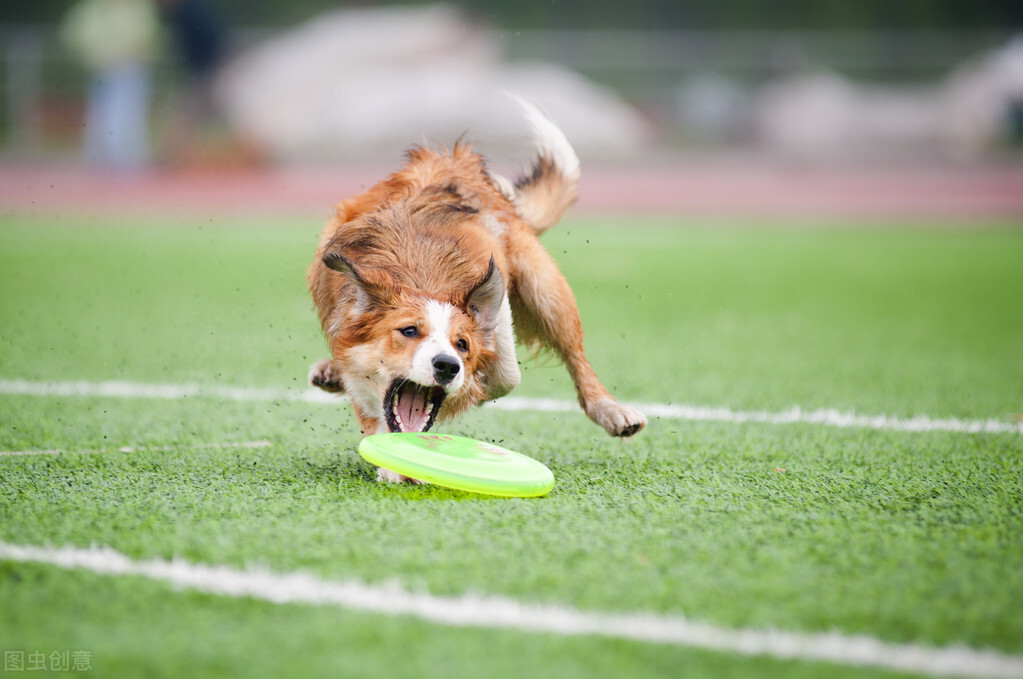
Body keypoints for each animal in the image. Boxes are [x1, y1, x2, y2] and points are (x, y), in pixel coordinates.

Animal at [302, 99, 650, 482]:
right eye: (408, 331)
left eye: (462, 344)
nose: (448, 366)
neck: (423, 277)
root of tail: (455, 159)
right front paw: (391, 463)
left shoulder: (498, 302)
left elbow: (505, 374)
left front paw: (474, 389)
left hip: (545, 287)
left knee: (575, 355)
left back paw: (611, 410)